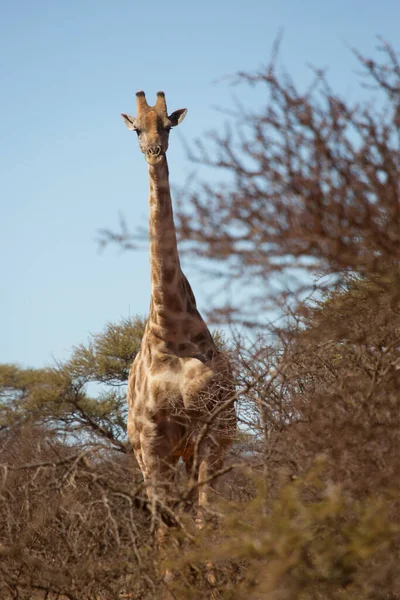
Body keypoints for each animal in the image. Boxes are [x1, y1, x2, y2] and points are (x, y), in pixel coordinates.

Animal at [120, 91, 236, 516]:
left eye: (167, 126)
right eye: (137, 129)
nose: (153, 152)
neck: (171, 326)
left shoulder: (213, 430)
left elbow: (205, 513)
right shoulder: (154, 440)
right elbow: (167, 519)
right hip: (144, 452)